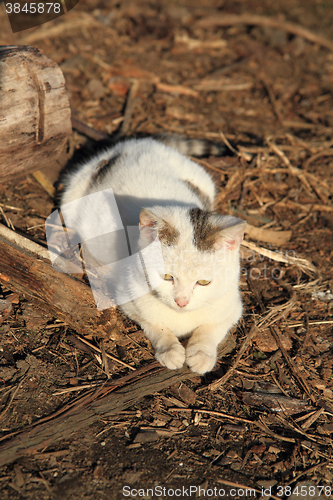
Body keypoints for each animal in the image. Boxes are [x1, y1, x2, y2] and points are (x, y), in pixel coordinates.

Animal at [57, 137, 246, 376]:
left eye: (203, 282)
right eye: (167, 277)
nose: (181, 301)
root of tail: (136, 142)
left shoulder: (232, 307)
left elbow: (211, 328)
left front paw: (201, 354)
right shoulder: (128, 300)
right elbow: (155, 325)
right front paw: (170, 350)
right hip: (72, 197)